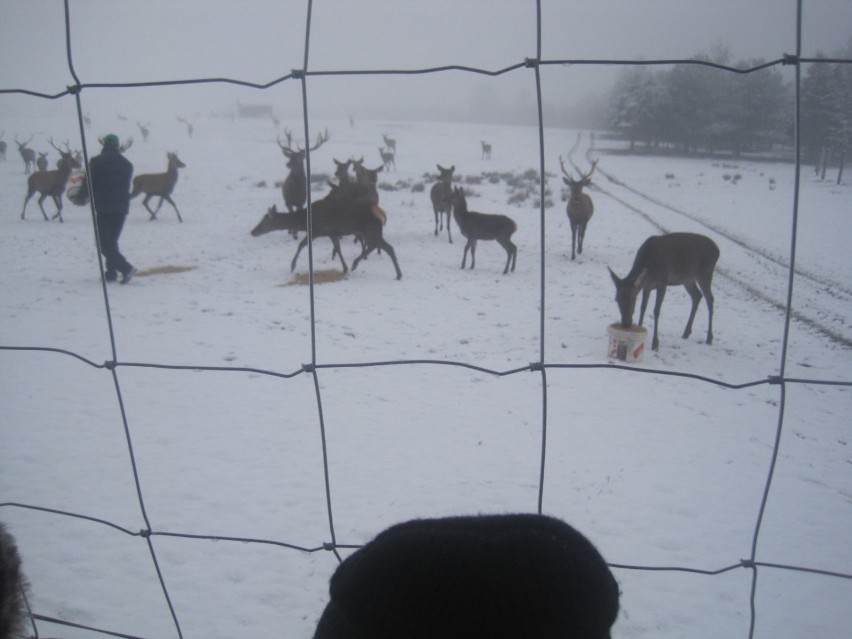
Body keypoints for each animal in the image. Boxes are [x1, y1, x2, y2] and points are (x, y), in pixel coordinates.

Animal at [250, 200, 402, 280]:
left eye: (264, 221)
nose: (253, 232)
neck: (304, 221)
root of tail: (382, 214)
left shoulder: (315, 230)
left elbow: (301, 245)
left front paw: (292, 266)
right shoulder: (331, 233)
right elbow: (338, 249)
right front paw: (345, 268)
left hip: (370, 230)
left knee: (386, 247)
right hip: (369, 232)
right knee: (376, 246)